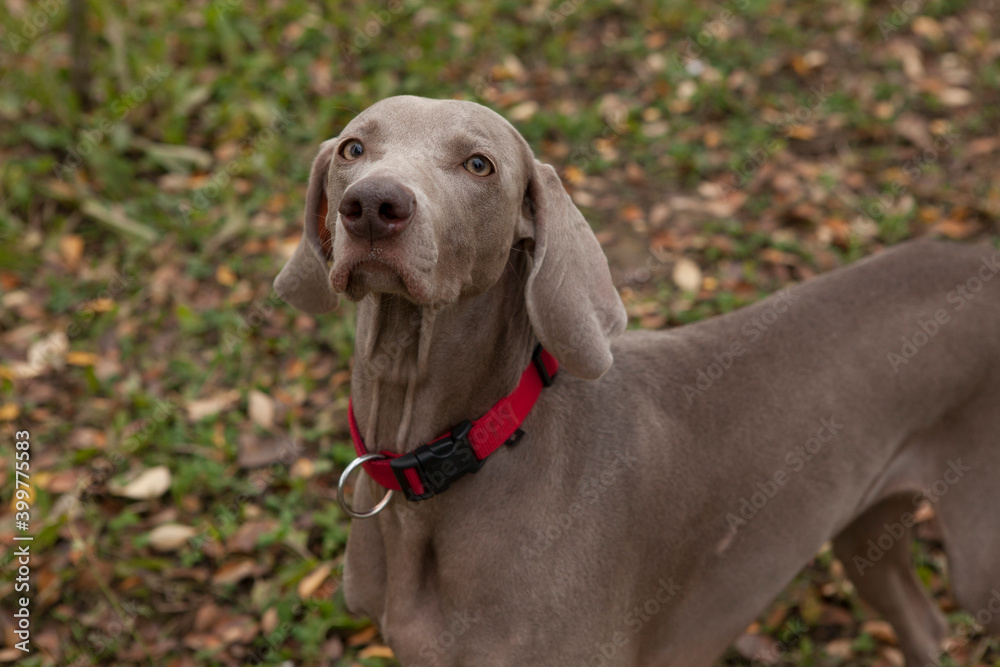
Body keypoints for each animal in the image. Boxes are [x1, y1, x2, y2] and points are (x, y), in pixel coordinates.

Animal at [274, 95, 1000, 667]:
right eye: (354, 146)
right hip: (866, 525)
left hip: (978, 563)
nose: (372, 205)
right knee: (922, 620)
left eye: (479, 164)